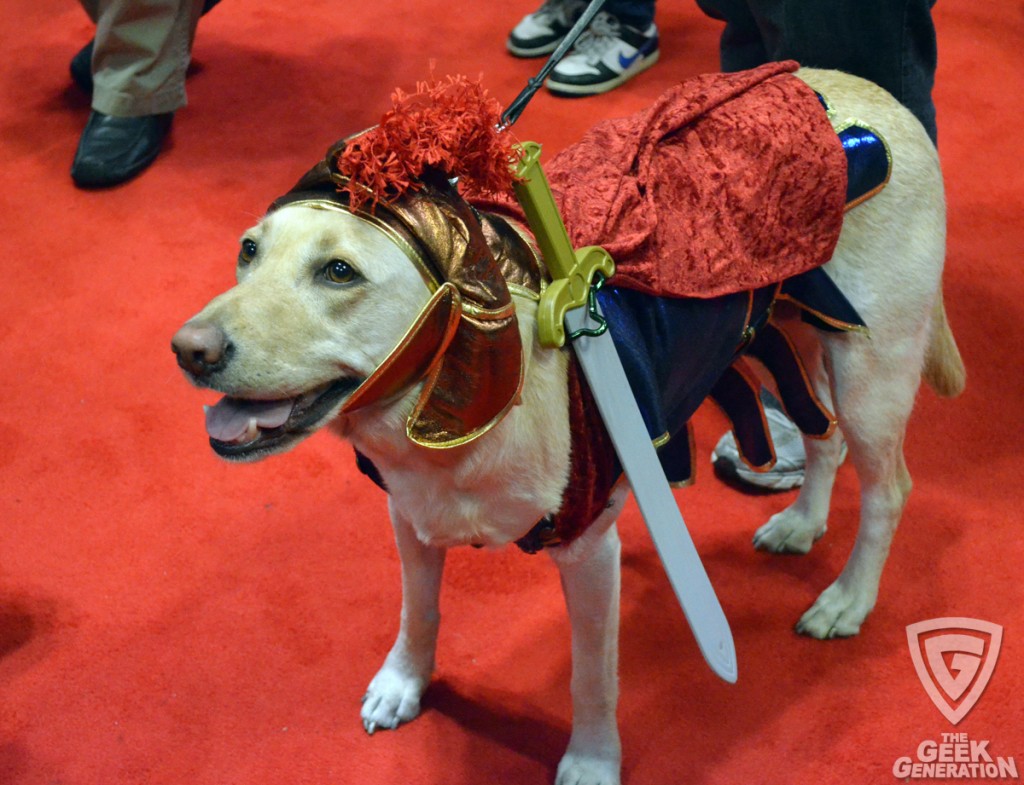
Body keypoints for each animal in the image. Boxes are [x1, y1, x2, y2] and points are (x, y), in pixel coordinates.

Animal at [172, 69, 962, 785]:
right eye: (248, 250)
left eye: (339, 272)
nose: (188, 351)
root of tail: (874, 95)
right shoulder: (411, 519)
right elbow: (417, 612)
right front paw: (404, 683)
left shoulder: (587, 554)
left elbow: (592, 677)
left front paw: (591, 760)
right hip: (789, 340)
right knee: (823, 437)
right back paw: (802, 524)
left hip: (872, 372)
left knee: (889, 488)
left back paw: (849, 599)